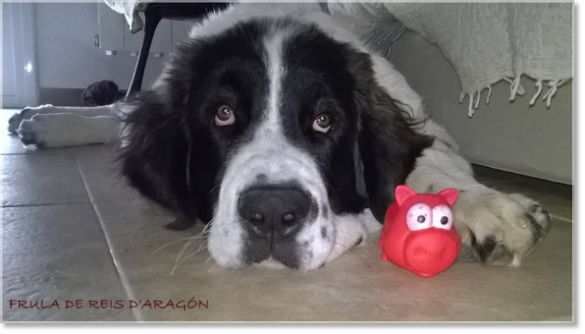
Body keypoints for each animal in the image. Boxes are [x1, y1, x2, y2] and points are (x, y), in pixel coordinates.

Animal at [8, 2, 552, 272]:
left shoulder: (427, 127)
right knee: (121, 112)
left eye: (325, 121)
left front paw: (490, 209)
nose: (271, 212)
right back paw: (42, 119)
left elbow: (431, 166)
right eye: (223, 114)